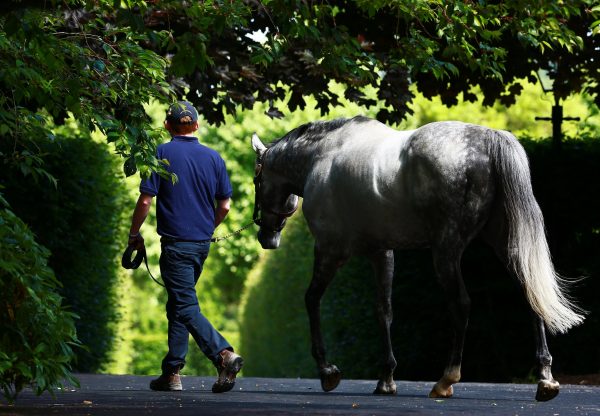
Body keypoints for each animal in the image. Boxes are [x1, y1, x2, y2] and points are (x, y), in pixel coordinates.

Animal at [251, 115, 584, 402]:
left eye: (257, 181)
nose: (267, 238)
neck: (322, 156)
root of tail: (489, 139)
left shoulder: (330, 250)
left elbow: (311, 299)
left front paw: (327, 371)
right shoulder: (381, 253)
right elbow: (383, 311)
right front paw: (386, 380)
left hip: (446, 251)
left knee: (461, 305)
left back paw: (446, 380)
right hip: (507, 246)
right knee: (531, 294)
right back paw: (545, 379)